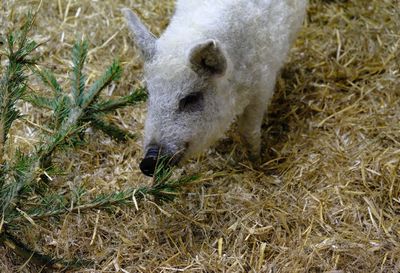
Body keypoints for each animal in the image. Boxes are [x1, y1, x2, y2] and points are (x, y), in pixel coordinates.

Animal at [123, 0, 308, 175]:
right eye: (149, 94)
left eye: (191, 98)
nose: (148, 162)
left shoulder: (263, 86)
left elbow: (249, 131)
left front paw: (257, 163)